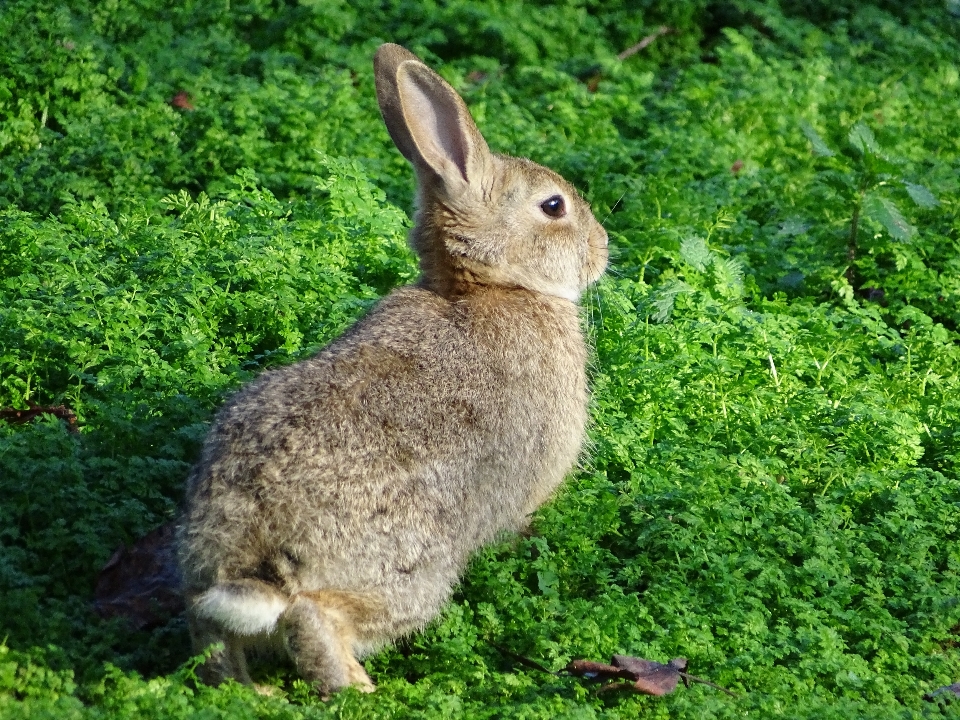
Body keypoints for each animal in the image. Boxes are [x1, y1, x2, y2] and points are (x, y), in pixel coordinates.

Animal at [176, 42, 608, 696]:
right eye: (553, 206)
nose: (603, 248)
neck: (491, 286)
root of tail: (252, 542)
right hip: (409, 574)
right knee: (315, 620)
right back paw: (359, 691)